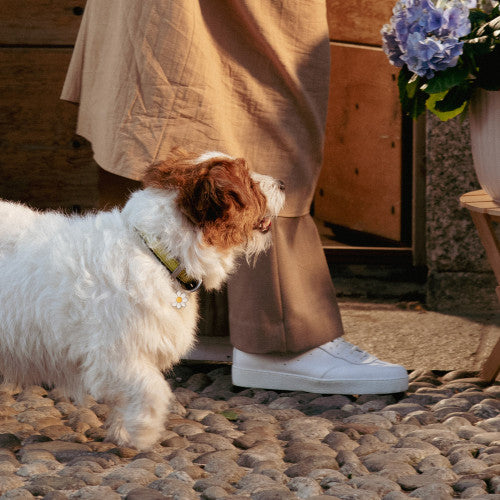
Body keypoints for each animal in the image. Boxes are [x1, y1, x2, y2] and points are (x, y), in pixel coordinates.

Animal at [0, 149, 284, 450]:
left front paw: (124, 432)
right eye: (249, 183)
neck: (156, 251)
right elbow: (153, 389)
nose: (282, 184)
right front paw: (145, 432)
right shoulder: (116, 355)